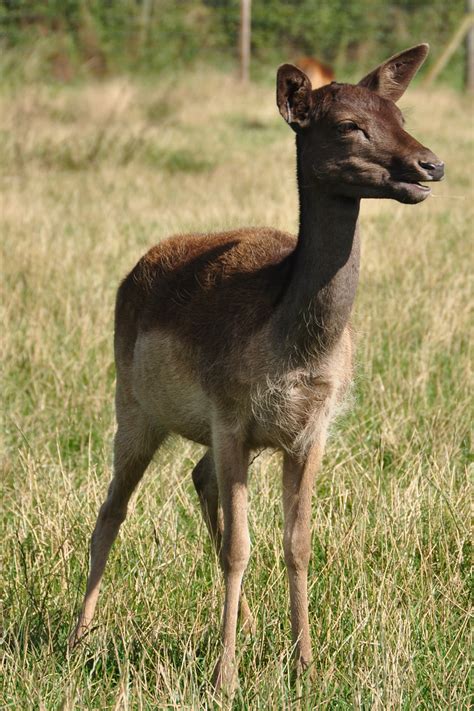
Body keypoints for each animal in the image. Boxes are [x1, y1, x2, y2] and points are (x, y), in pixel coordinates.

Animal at [69, 43, 444, 688]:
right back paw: (78, 637)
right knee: (112, 509)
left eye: (400, 114)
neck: (295, 348)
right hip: (134, 405)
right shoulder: (229, 413)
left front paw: (306, 663)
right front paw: (225, 674)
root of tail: (133, 271)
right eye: (349, 125)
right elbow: (240, 547)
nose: (430, 165)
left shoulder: (311, 428)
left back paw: (243, 622)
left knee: (197, 479)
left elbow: (297, 543)